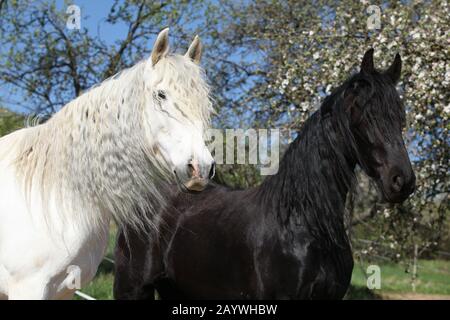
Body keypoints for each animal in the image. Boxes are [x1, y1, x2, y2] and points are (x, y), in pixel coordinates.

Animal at [0, 28, 215, 300]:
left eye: (204, 102)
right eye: (161, 94)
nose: (200, 168)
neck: (55, 193)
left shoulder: (64, 289)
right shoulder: (28, 287)